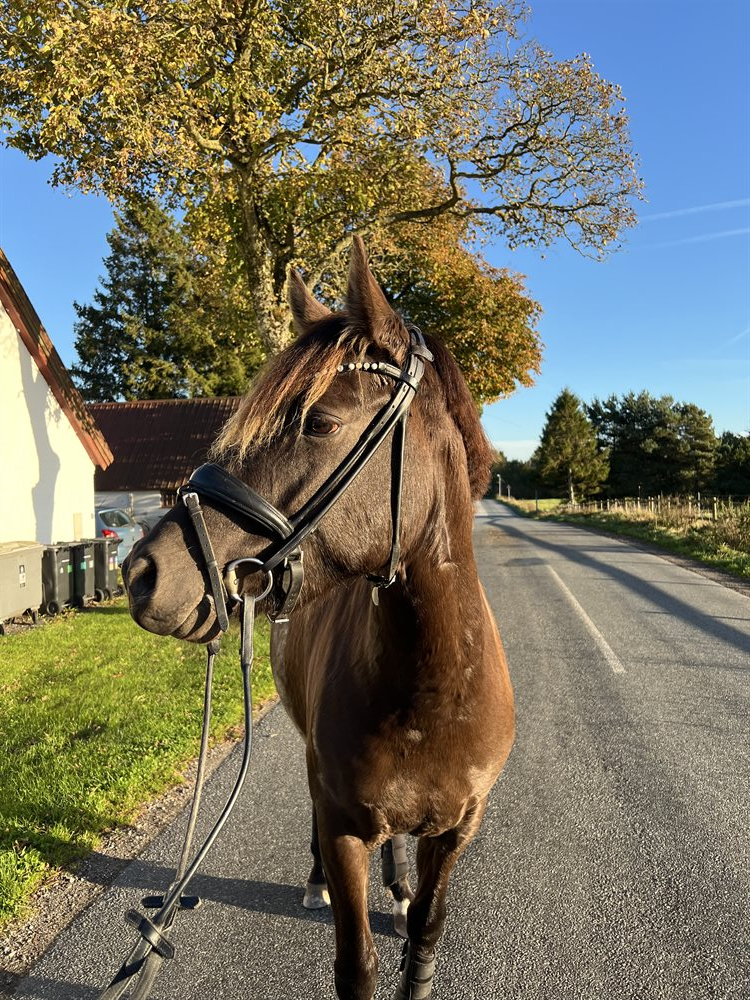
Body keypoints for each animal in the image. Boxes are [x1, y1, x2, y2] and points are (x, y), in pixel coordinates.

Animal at [123, 237, 515, 1000]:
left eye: (322, 422)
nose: (142, 575)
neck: (430, 690)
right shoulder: (340, 826)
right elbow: (355, 966)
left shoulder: (456, 833)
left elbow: (423, 946)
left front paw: (408, 907)